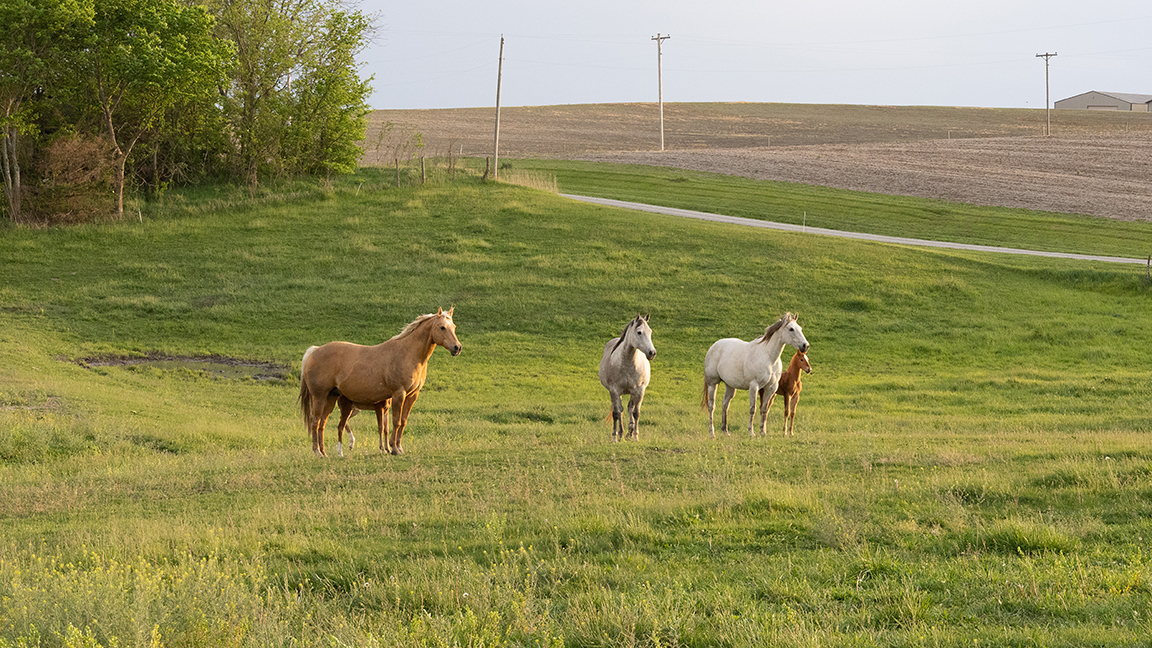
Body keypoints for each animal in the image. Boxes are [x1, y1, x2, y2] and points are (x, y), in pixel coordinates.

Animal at [299, 307, 462, 457]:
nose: (457, 348)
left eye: (453, 327)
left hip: (331, 397)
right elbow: (396, 421)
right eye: (442, 327)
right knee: (315, 421)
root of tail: (314, 351)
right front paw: (394, 449)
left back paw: (324, 452)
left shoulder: (412, 395)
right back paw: (317, 452)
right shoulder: (399, 394)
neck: (408, 353)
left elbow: (403, 421)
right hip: (320, 397)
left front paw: (399, 447)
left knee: (322, 423)